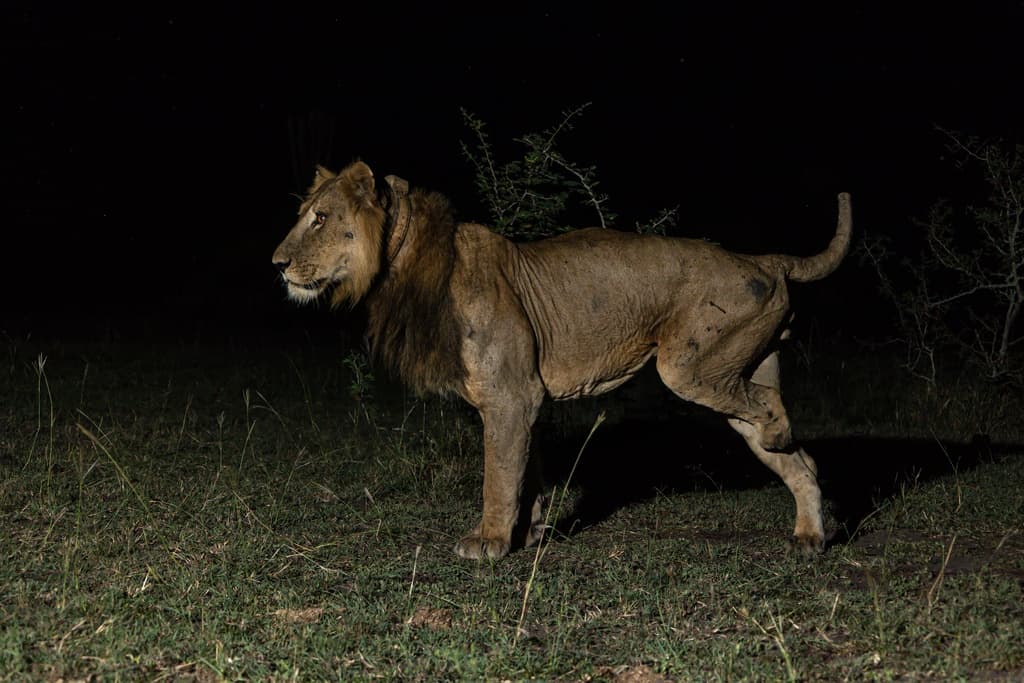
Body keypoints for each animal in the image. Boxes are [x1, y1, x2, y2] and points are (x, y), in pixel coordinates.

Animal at [272, 161, 851, 560]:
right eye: (304, 216)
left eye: (320, 219)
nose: (276, 264)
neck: (404, 264)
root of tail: (762, 259)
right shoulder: (523, 399)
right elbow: (525, 471)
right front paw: (528, 533)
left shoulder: (511, 396)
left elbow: (498, 475)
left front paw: (488, 541)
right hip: (736, 369)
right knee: (800, 460)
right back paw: (809, 536)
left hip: (689, 366)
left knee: (771, 411)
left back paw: (781, 439)